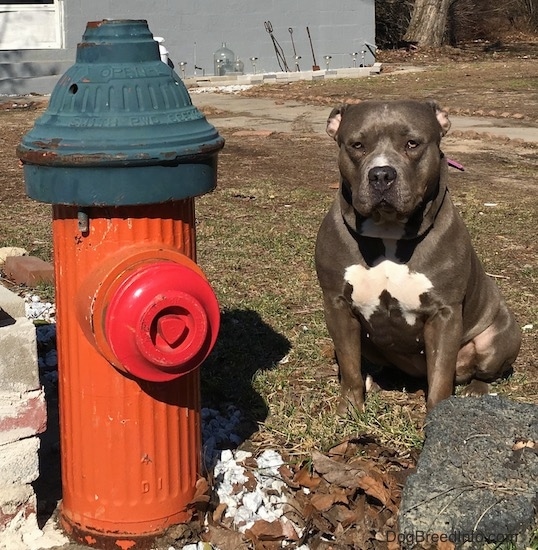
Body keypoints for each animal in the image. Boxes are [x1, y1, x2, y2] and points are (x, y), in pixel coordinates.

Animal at [314, 100, 520, 414]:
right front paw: (350, 409)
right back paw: (375, 379)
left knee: (482, 371)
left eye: (412, 143)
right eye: (357, 145)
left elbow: (441, 377)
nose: (381, 174)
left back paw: (476, 390)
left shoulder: (444, 314)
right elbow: (349, 367)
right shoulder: (337, 304)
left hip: (496, 338)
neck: (388, 232)